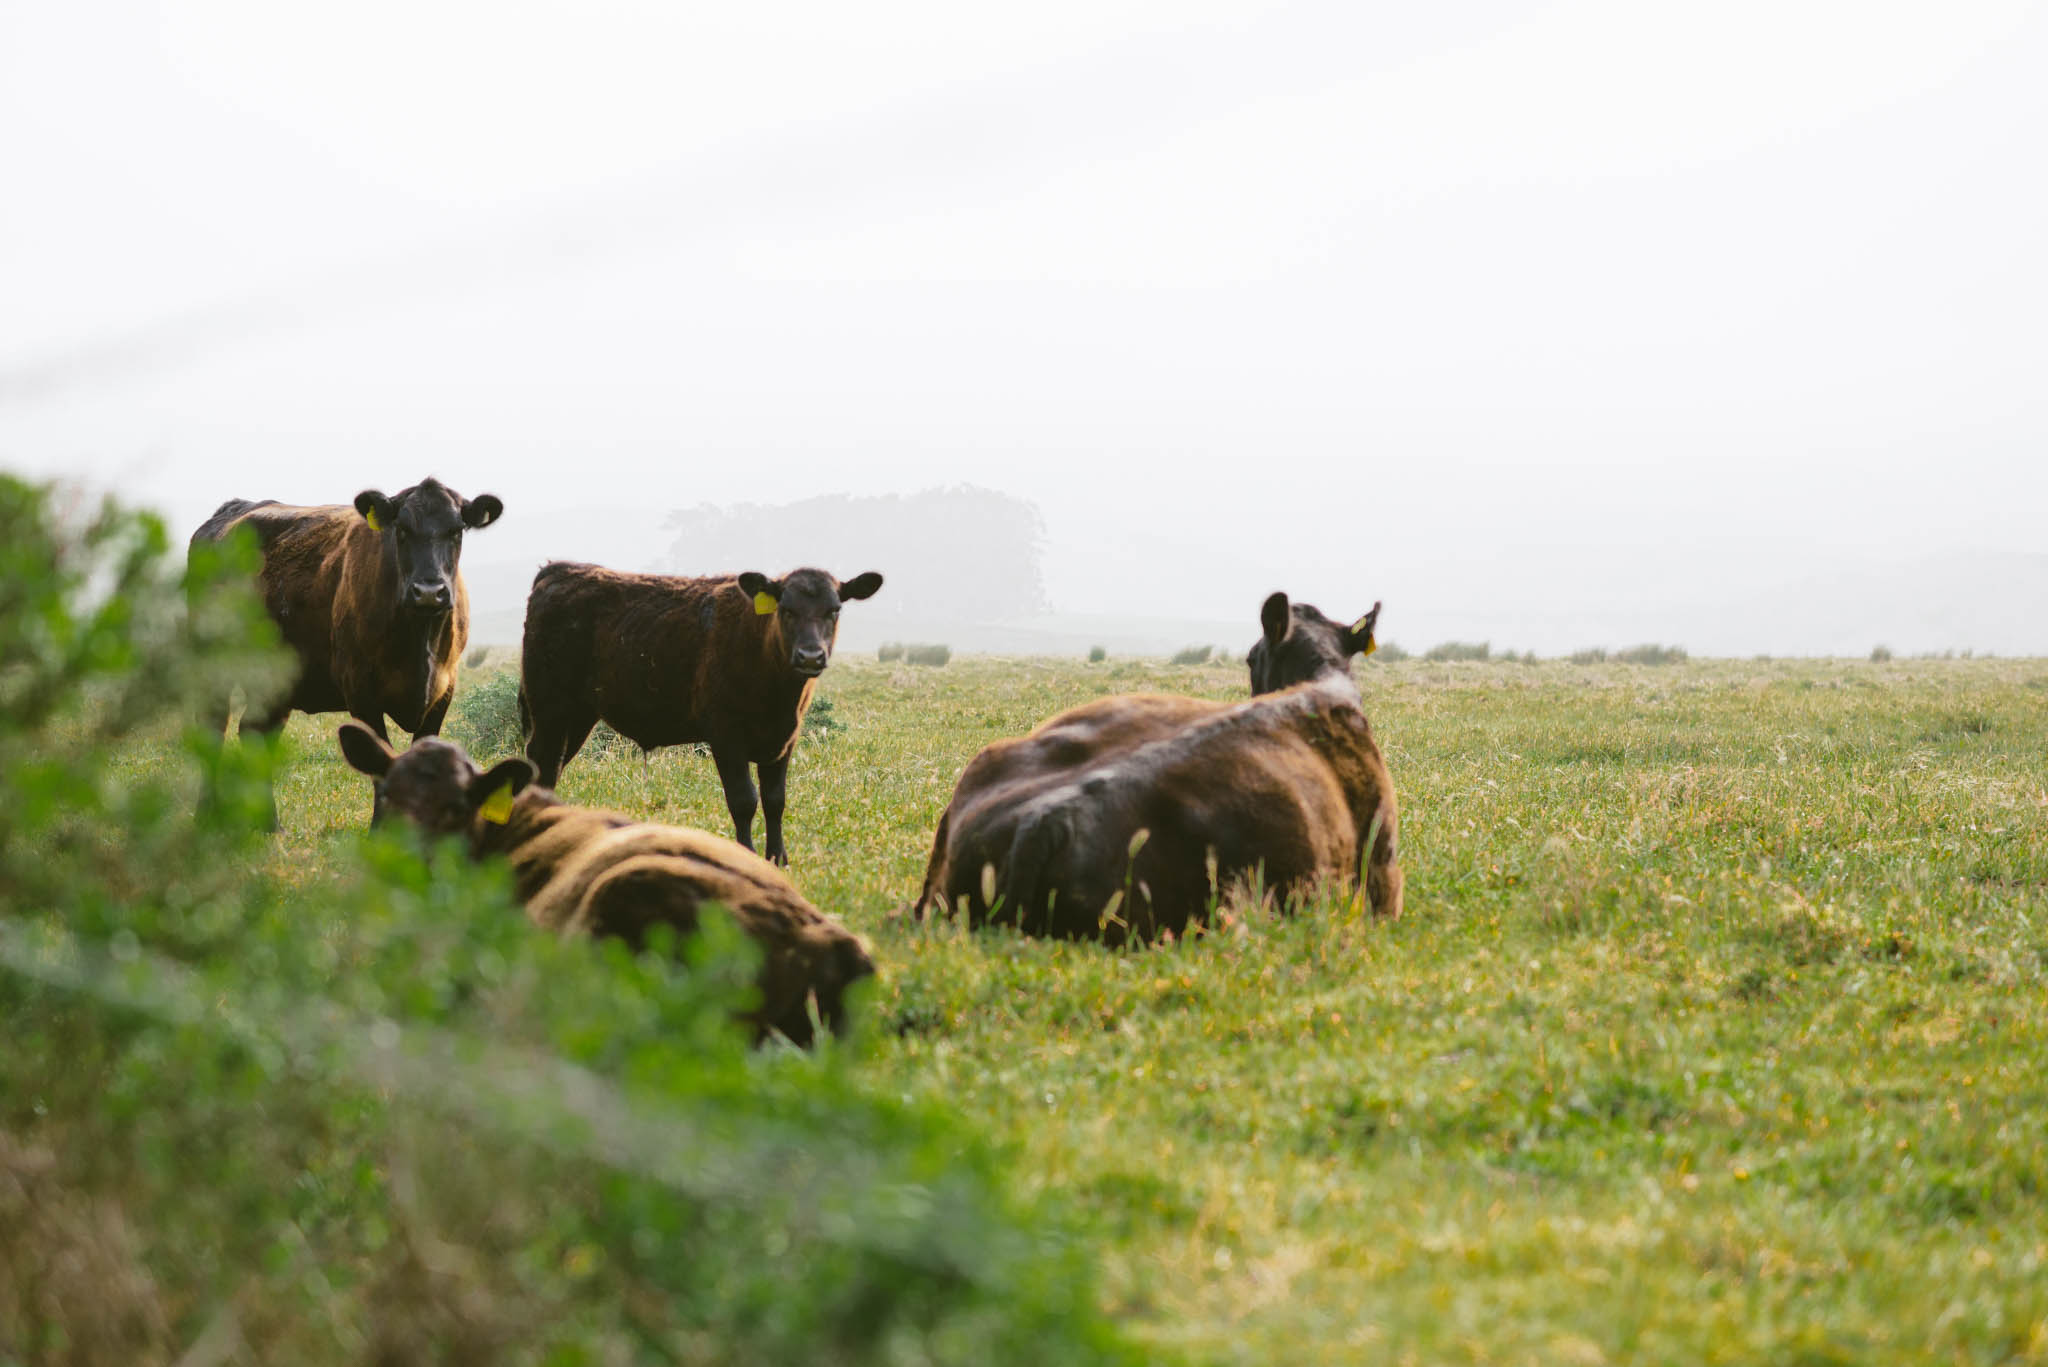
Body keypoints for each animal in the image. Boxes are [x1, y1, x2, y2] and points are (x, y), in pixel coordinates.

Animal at [191, 479, 503, 811]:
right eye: (401, 529)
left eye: (456, 530)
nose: (429, 592)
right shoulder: (360, 690)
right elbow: (379, 766)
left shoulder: (444, 690)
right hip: (212, 667)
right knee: (213, 729)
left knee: (255, 732)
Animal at [516, 557, 876, 860]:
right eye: (785, 609)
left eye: (834, 610)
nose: (810, 656)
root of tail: (560, 569)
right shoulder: (726, 736)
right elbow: (744, 800)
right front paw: (747, 855)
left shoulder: (785, 738)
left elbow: (775, 800)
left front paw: (778, 859)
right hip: (549, 707)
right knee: (541, 763)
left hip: (578, 715)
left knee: (552, 768)